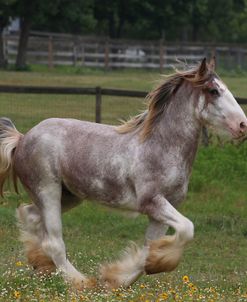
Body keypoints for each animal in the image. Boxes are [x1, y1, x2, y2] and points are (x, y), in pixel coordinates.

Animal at [0, 57, 247, 290]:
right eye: (213, 91)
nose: (242, 125)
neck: (160, 146)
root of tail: (22, 138)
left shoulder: (164, 208)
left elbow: (149, 248)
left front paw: (116, 279)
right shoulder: (152, 202)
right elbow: (187, 229)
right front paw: (150, 267)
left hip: (69, 196)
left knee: (31, 215)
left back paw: (42, 267)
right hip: (48, 189)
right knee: (54, 242)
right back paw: (81, 282)